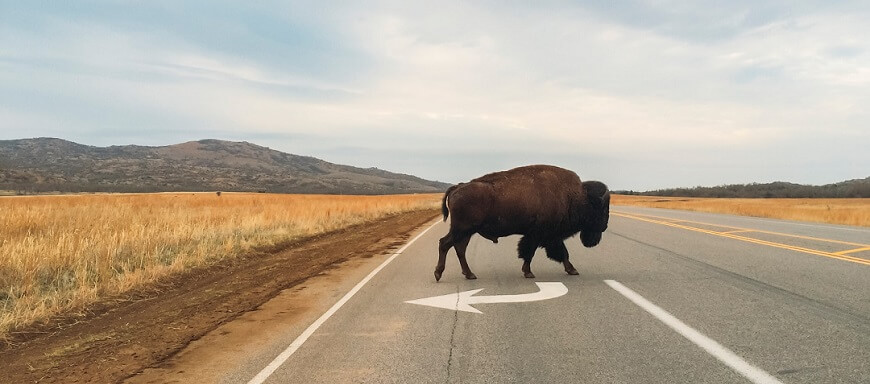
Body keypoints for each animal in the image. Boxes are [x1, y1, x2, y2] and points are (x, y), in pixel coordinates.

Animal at [436, 165, 612, 282]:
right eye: (602, 209)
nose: (604, 227)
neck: (577, 197)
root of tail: (457, 187)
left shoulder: (549, 236)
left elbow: (562, 253)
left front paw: (572, 270)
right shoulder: (539, 235)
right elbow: (531, 253)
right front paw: (529, 273)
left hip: (466, 232)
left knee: (459, 249)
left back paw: (469, 274)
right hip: (462, 229)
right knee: (445, 243)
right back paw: (439, 274)